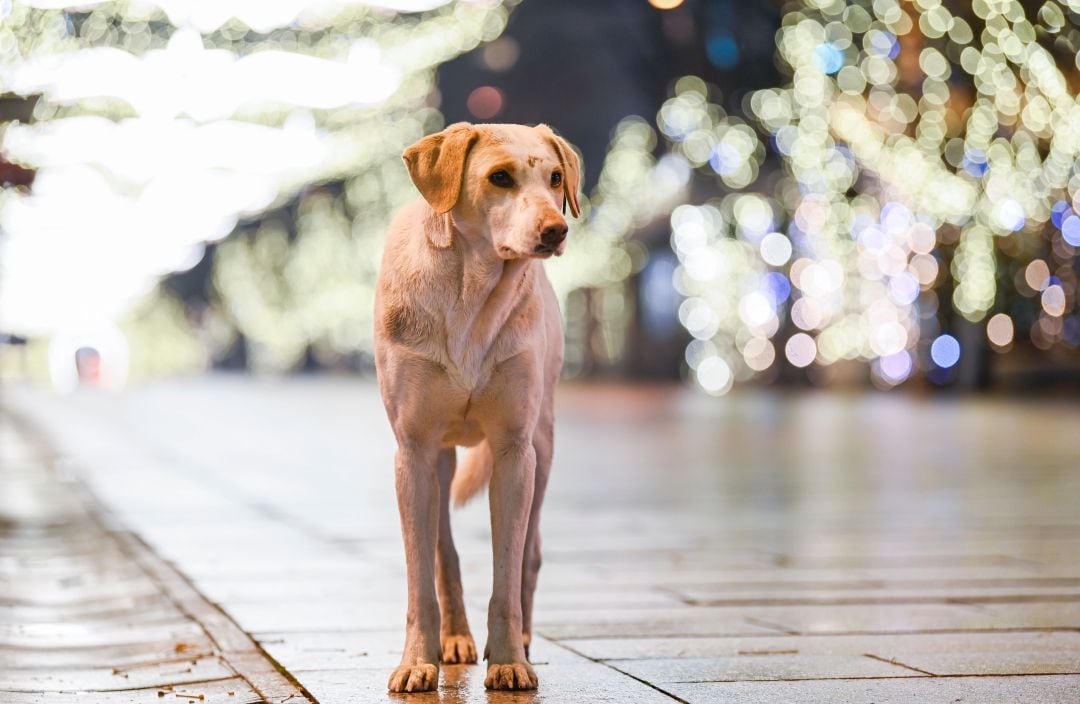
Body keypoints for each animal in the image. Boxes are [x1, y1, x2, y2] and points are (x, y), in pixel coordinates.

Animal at [375, 122, 583, 691]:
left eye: (556, 178)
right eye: (500, 178)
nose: (556, 230)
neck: (471, 294)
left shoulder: (514, 452)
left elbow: (507, 570)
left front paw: (509, 659)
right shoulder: (412, 451)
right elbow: (419, 576)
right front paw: (417, 661)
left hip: (543, 447)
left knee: (530, 552)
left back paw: (524, 639)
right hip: (440, 458)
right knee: (443, 551)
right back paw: (455, 638)